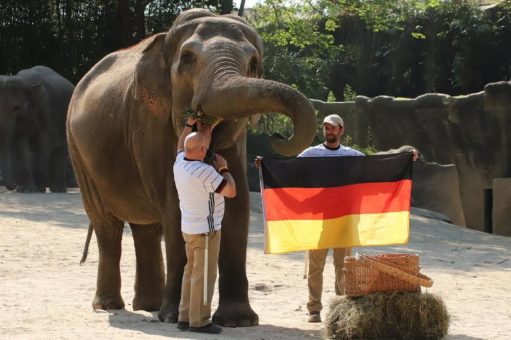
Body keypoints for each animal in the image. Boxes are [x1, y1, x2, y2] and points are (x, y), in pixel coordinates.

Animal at [66, 8, 318, 326]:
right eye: (186, 58)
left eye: (253, 63)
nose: (277, 135)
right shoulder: (148, 120)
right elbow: (175, 204)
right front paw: (175, 316)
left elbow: (237, 205)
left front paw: (238, 321)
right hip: (77, 150)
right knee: (106, 224)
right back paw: (113, 306)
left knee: (146, 228)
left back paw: (149, 306)